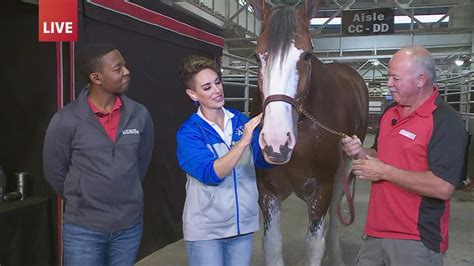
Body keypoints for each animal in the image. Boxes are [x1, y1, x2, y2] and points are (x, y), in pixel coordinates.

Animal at [248, 1, 370, 264]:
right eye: (256, 56)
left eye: (306, 55)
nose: (276, 144)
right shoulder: (267, 191)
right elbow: (272, 245)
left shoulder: (321, 189)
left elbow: (314, 244)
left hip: (343, 168)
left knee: (335, 212)